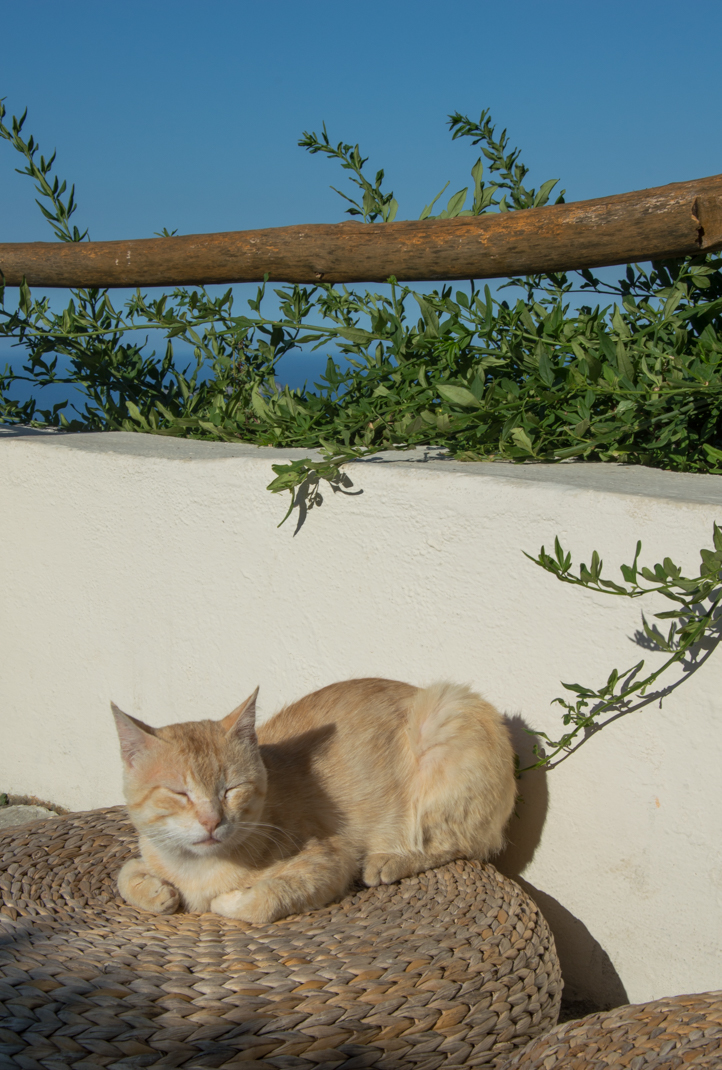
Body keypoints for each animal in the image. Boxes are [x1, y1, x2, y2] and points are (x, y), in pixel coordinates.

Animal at [111, 676, 513, 920]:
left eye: (231, 789)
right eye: (179, 792)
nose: (212, 821)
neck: (196, 869)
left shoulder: (331, 862)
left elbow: (263, 900)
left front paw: (226, 901)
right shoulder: (148, 850)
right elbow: (125, 872)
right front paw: (156, 892)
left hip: (446, 716)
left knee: (461, 844)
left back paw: (388, 861)